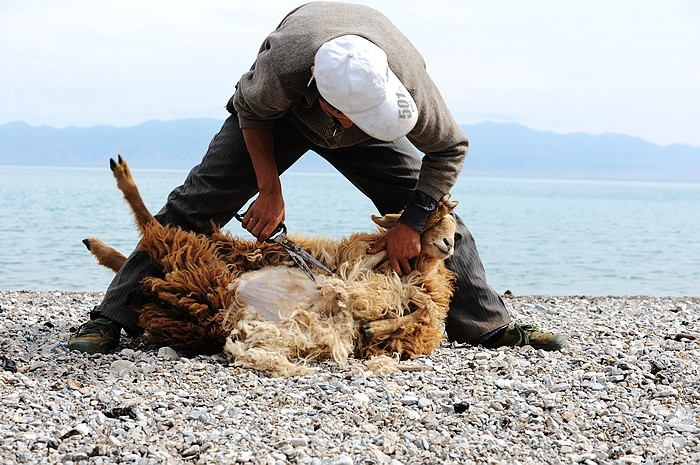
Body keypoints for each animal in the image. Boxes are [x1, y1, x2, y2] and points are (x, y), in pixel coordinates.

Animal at [86, 156, 460, 376]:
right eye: (436, 223)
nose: (449, 243)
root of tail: (232, 296)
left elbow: (417, 313)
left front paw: (374, 327)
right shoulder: (357, 271)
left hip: (198, 273)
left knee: (155, 236)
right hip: (216, 259)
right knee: (154, 231)